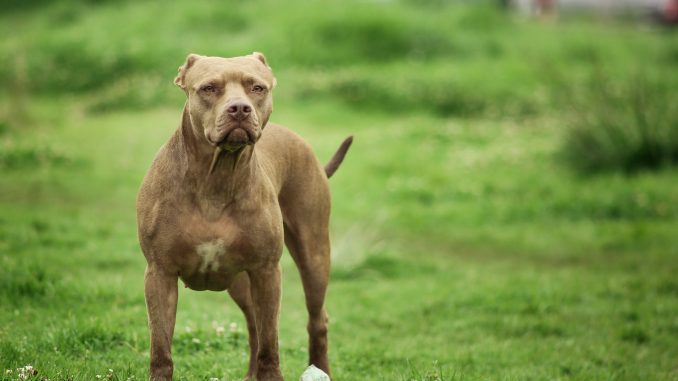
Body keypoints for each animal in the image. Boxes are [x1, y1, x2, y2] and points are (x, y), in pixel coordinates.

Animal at [136, 51, 354, 380]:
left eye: (257, 87)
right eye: (208, 88)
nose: (239, 108)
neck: (217, 176)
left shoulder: (266, 272)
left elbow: (270, 343)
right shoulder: (160, 273)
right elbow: (160, 347)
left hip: (313, 256)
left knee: (315, 320)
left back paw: (320, 368)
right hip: (240, 280)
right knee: (253, 324)